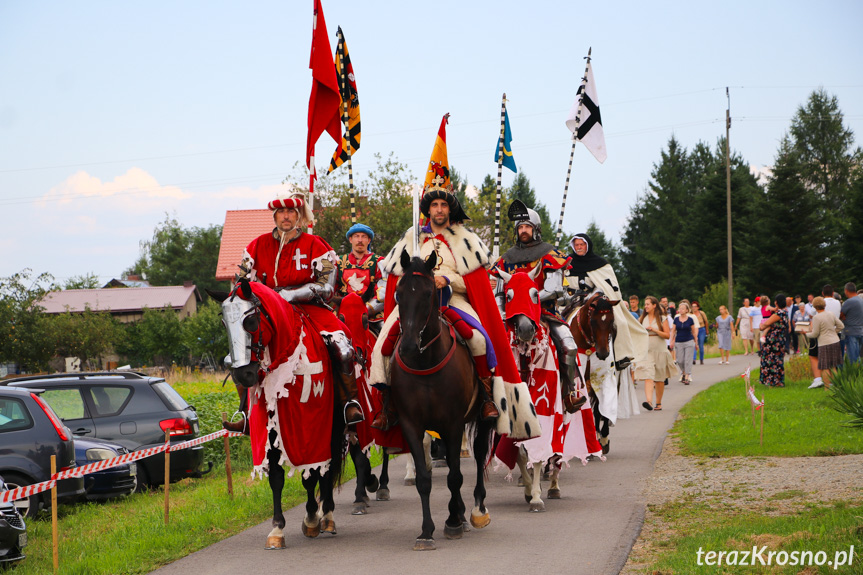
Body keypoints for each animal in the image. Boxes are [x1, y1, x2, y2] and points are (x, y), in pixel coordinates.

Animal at [208, 282, 344, 552]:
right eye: (224, 323)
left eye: (251, 320)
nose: (243, 375)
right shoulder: (270, 432)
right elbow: (277, 479)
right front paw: (277, 529)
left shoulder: (311, 431)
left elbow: (311, 475)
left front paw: (312, 518)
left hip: (334, 427)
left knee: (327, 469)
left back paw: (327, 515)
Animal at [390, 250, 496, 552]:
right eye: (399, 294)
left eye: (429, 293)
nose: (408, 347)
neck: (425, 361)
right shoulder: (411, 425)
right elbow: (425, 479)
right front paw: (426, 531)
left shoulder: (453, 423)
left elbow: (455, 475)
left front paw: (452, 522)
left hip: (481, 418)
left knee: (479, 454)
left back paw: (475, 511)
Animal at [572, 294, 616, 456]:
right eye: (593, 321)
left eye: (611, 320)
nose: (603, 353)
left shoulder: (603, 379)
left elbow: (600, 409)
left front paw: (603, 439)